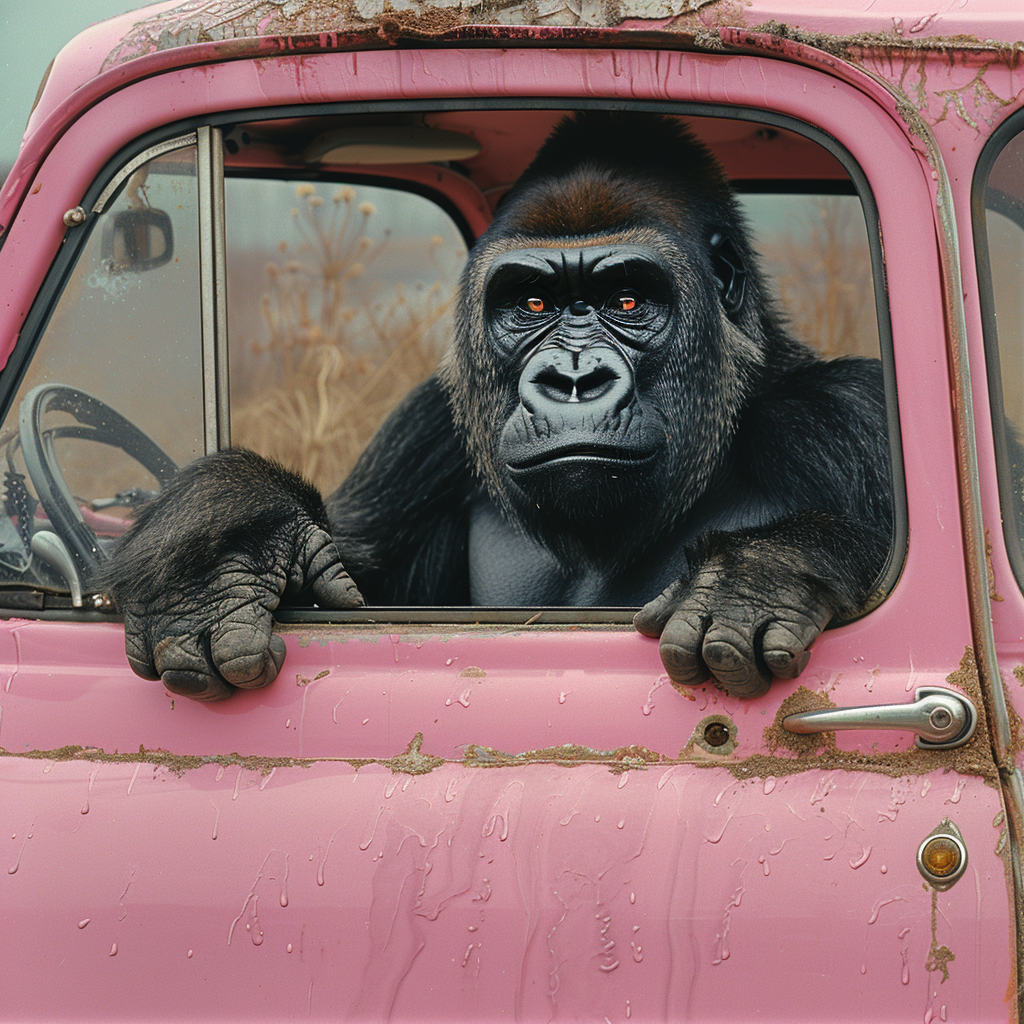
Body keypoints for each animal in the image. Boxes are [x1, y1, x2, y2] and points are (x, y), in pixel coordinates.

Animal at [99, 112, 892, 704]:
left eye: (628, 300)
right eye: (532, 304)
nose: (573, 379)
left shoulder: (846, 410)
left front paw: (767, 568)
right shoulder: (428, 429)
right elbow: (357, 575)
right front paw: (224, 539)